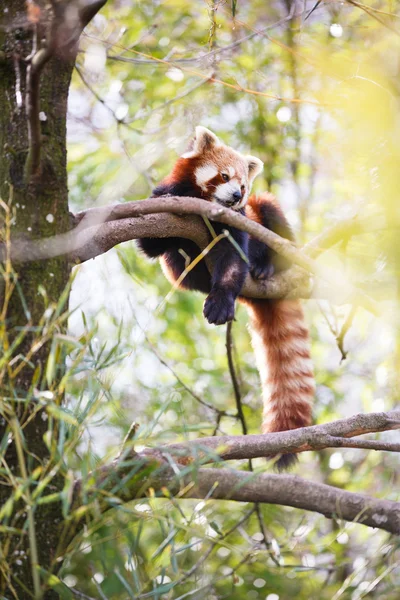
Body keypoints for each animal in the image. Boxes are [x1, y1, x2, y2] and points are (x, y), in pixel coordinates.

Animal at [138, 126, 316, 468]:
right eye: (223, 176)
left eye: (243, 185)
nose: (236, 196)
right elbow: (150, 243)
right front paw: (170, 202)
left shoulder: (236, 222)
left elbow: (233, 259)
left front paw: (220, 302)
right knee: (178, 265)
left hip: (269, 219)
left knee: (272, 213)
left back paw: (266, 265)